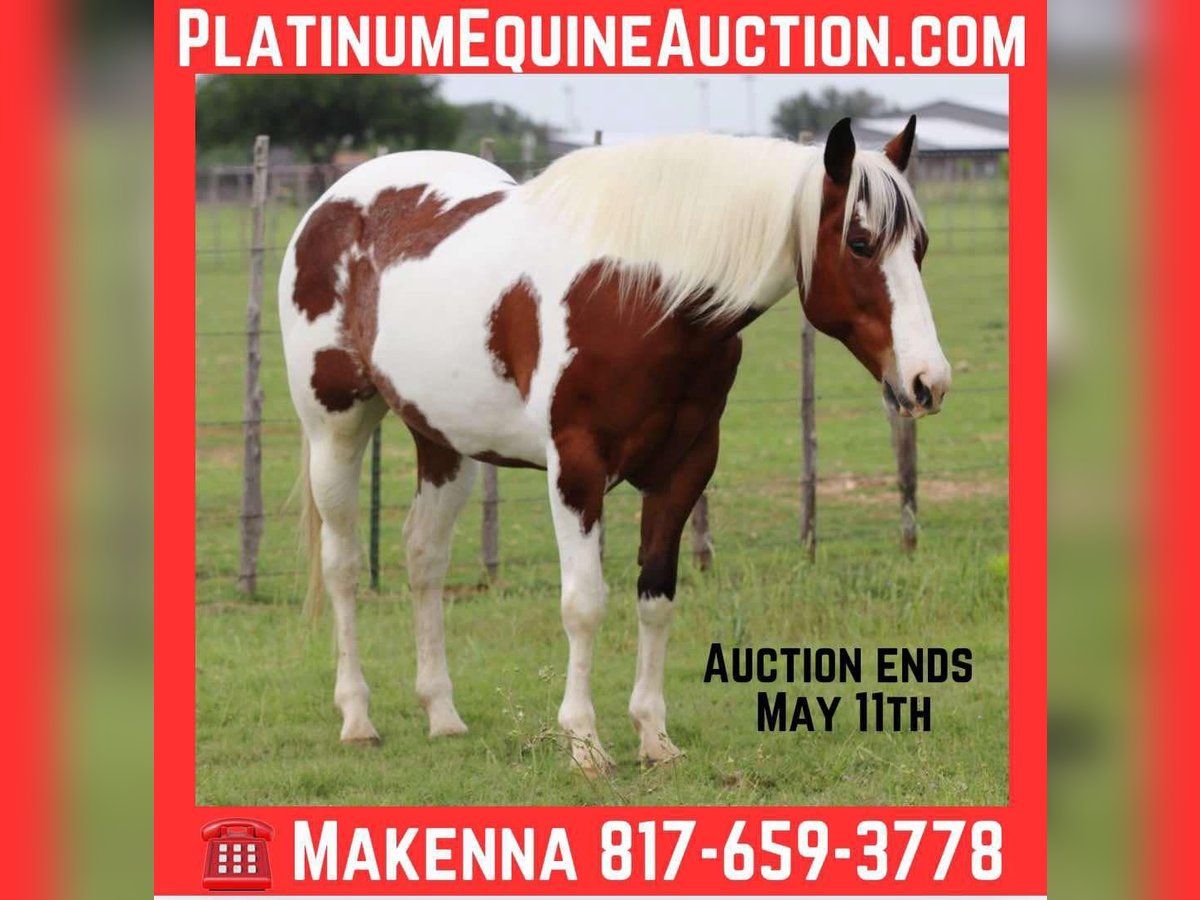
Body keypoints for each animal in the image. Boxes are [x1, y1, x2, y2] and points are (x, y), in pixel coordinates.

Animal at [278, 117, 951, 775]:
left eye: (919, 247)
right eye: (860, 244)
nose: (929, 382)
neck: (643, 295)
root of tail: (333, 205)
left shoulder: (684, 468)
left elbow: (656, 597)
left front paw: (654, 737)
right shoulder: (575, 470)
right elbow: (584, 605)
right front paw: (583, 744)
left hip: (441, 439)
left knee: (424, 557)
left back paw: (442, 714)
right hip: (335, 429)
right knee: (342, 567)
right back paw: (357, 718)